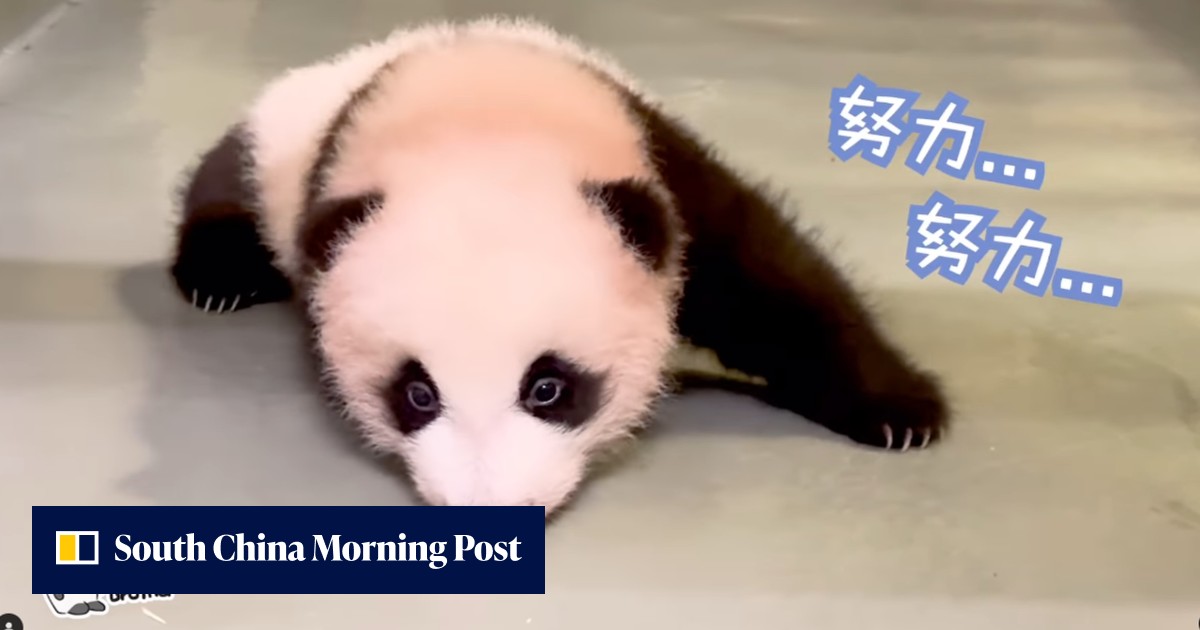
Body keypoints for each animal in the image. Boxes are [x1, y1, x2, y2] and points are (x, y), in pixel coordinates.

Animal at [168, 16, 949, 515]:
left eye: (549, 387)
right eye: (417, 394)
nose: (489, 510)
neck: (480, 124)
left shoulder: (662, 174)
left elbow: (769, 283)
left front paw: (901, 412)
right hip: (271, 142)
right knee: (223, 185)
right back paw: (221, 276)